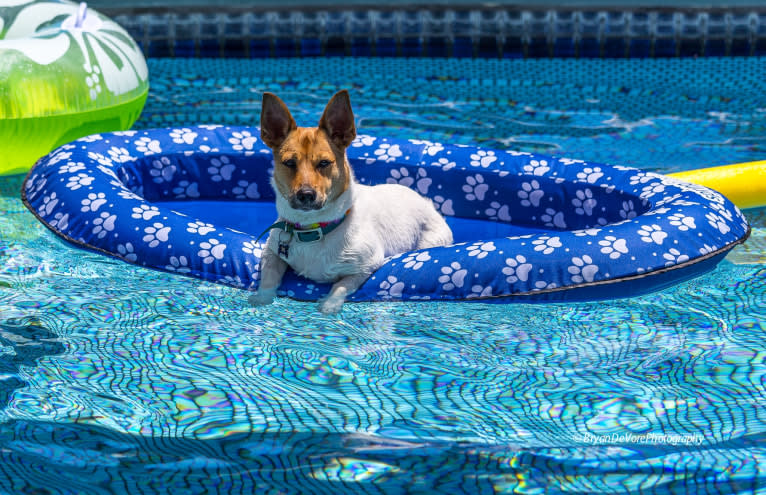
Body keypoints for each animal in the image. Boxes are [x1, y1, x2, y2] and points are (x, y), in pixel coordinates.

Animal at [250, 90, 456, 314]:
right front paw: (262, 297)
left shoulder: (367, 265)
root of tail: (429, 205)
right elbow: (269, 275)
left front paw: (329, 303)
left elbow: (342, 284)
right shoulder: (271, 251)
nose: (306, 194)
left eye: (324, 163)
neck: (314, 228)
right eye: (289, 163)